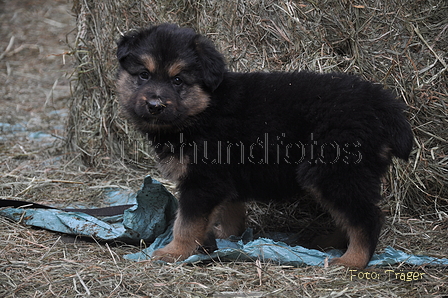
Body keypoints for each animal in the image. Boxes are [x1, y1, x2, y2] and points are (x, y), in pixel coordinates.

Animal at [115, 23, 412, 268]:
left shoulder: (203, 180)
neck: (205, 110)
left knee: (367, 218)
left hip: (334, 170)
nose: (154, 105)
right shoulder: (224, 178)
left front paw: (174, 252)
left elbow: (186, 223)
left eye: (178, 80)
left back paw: (352, 260)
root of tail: (382, 103)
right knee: (349, 214)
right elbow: (230, 211)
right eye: (143, 75)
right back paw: (329, 243)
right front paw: (226, 237)